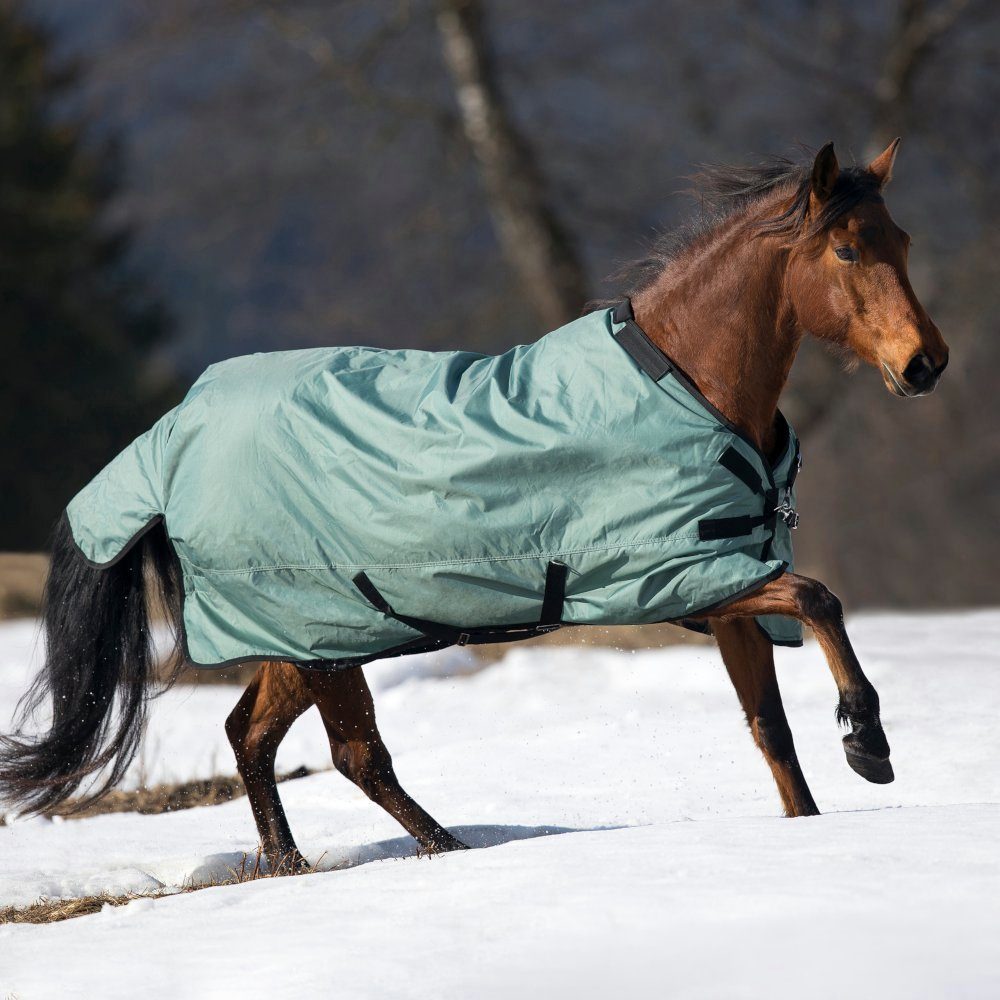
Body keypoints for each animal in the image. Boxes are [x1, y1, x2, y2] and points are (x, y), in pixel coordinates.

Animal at [0, 140, 948, 872]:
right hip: (325, 634)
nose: (926, 363)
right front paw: (869, 744)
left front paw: (815, 820)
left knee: (251, 736)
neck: (687, 384)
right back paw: (446, 852)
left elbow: (771, 732)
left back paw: (292, 864)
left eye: (901, 238)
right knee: (353, 754)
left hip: (304, 637)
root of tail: (169, 437)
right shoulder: (689, 576)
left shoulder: (725, 603)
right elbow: (821, 600)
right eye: (847, 251)